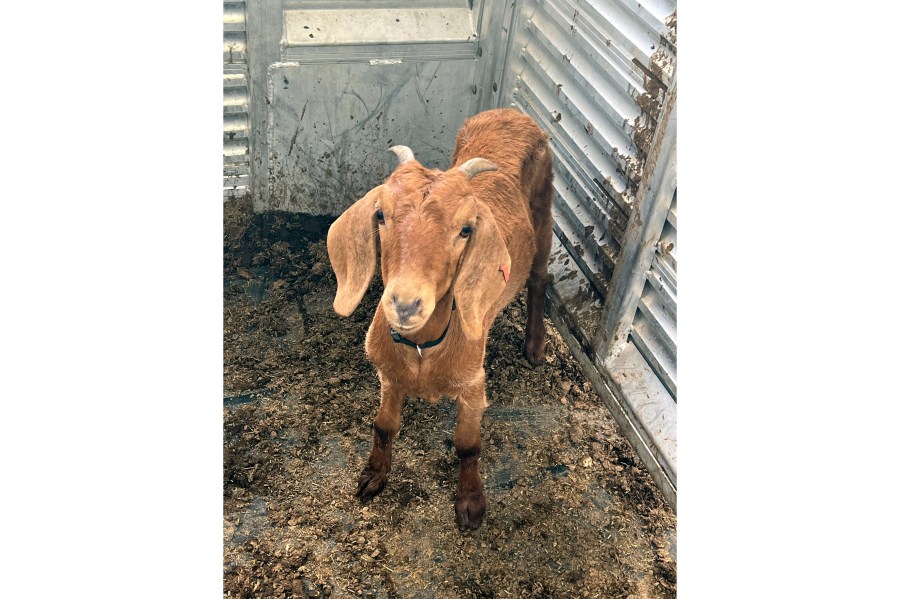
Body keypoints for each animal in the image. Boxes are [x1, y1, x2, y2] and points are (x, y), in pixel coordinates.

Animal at [326, 109, 552, 528]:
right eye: (381, 215)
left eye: (465, 229)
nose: (406, 303)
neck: (422, 350)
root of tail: (510, 111)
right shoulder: (388, 376)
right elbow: (383, 426)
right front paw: (373, 475)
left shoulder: (473, 385)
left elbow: (468, 446)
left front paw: (471, 503)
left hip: (546, 207)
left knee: (540, 276)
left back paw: (534, 346)